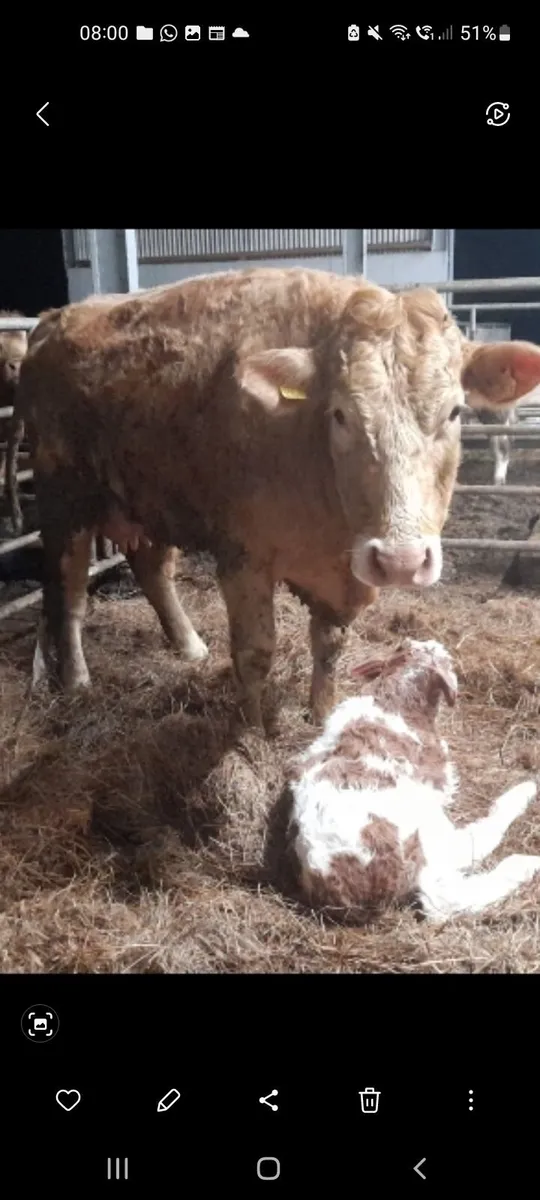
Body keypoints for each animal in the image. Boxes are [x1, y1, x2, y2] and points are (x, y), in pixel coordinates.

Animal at [17, 268, 540, 731]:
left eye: (454, 411)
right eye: (340, 414)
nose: (400, 560)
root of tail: (53, 319)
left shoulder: (340, 574)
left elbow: (329, 645)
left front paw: (322, 715)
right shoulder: (243, 557)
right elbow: (255, 652)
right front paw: (251, 733)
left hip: (148, 495)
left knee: (151, 570)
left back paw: (189, 646)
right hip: (63, 500)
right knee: (71, 592)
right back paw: (76, 678)